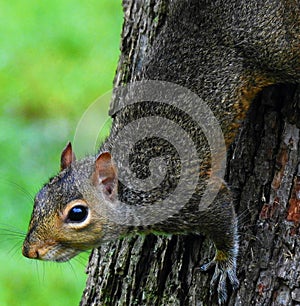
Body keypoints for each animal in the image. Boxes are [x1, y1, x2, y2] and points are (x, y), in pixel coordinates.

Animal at [22, 1, 298, 304]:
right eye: (38, 199)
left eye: (77, 213)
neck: (132, 185)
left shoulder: (190, 196)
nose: (29, 250)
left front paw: (224, 266)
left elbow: (224, 221)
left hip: (279, 51)